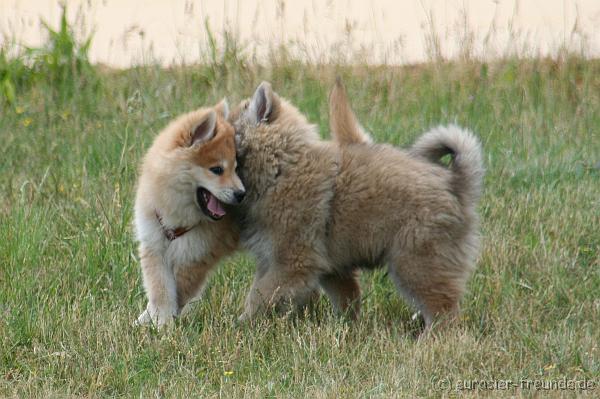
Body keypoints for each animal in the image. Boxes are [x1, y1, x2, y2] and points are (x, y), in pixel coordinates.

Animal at [136, 101, 246, 328]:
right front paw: (152, 319)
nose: (241, 194)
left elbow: (179, 289)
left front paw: (163, 323)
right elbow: (159, 288)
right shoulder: (154, 243)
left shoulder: (196, 255)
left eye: (236, 168)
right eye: (217, 169)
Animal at [232, 82, 486, 332]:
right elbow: (347, 297)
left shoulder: (292, 263)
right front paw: (346, 327)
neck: (282, 165)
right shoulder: (325, 267)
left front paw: (241, 324)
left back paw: (429, 339)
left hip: (417, 264)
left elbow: (259, 295)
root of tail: (456, 184)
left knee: (444, 313)